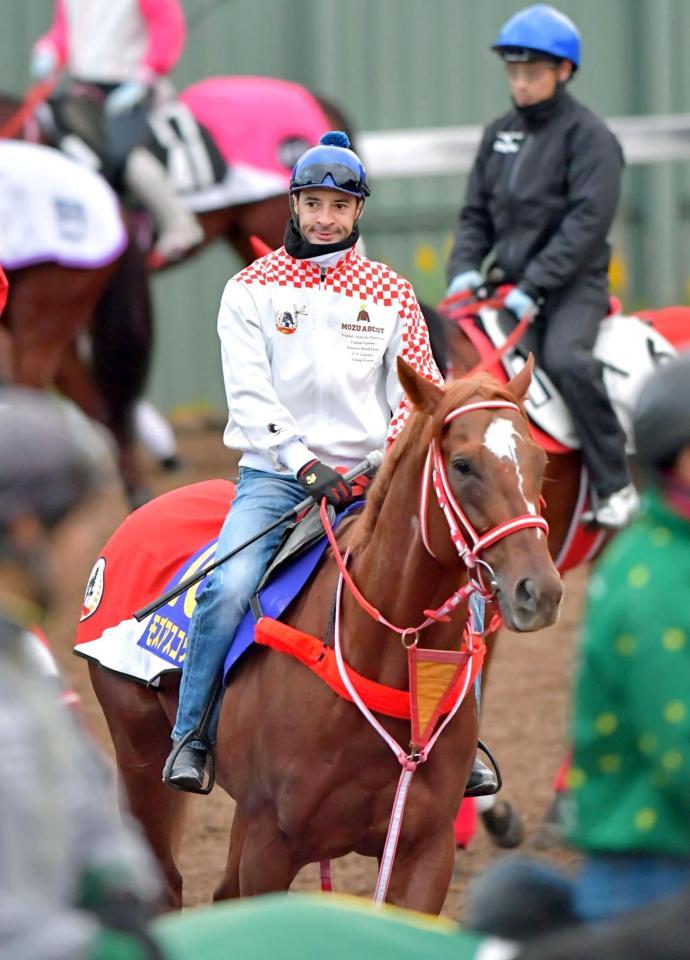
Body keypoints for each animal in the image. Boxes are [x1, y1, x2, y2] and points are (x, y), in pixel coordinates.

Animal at [84, 356, 560, 912]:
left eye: (538, 460)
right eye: (462, 465)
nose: (539, 590)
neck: (378, 656)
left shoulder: (425, 850)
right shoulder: (270, 843)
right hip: (138, 754)